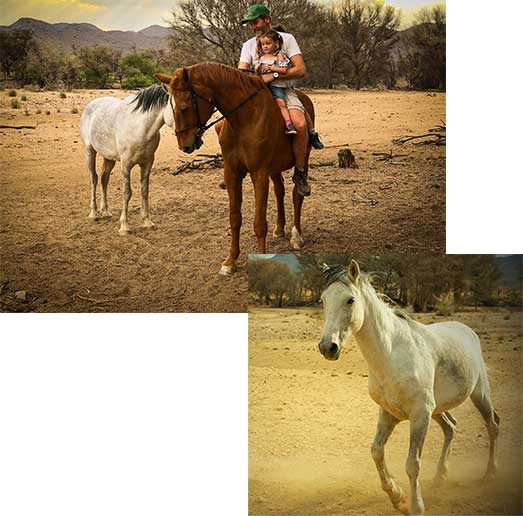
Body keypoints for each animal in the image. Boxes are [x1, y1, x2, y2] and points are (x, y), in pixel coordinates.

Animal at [79, 84, 175, 234]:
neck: (140, 127)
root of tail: (91, 105)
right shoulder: (126, 164)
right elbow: (127, 192)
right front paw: (124, 226)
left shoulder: (147, 163)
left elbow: (144, 191)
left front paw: (147, 222)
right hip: (89, 151)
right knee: (93, 179)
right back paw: (94, 213)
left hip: (109, 158)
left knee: (104, 179)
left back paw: (105, 211)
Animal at [156, 62, 316, 274]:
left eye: (185, 107)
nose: (185, 146)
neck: (245, 119)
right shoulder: (232, 173)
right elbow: (234, 218)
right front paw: (230, 261)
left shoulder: (259, 174)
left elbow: (259, 223)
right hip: (274, 168)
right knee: (279, 190)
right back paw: (280, 228)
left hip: (302, 160)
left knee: (297, 194)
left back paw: (296, 236)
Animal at [318, 262, 502, 516]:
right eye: (323, 300)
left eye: (350, 300)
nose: (328, 347)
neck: (392, 354)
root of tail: (467, 329)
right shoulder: (389, 413)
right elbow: (376, 451)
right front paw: (397, 496)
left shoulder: (419, 414)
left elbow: (412, 464)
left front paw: (415, 506)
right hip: (437, 409)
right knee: (451, 427)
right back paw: (440, 476)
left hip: (479, 395)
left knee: (492, 425)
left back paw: (490, 474)